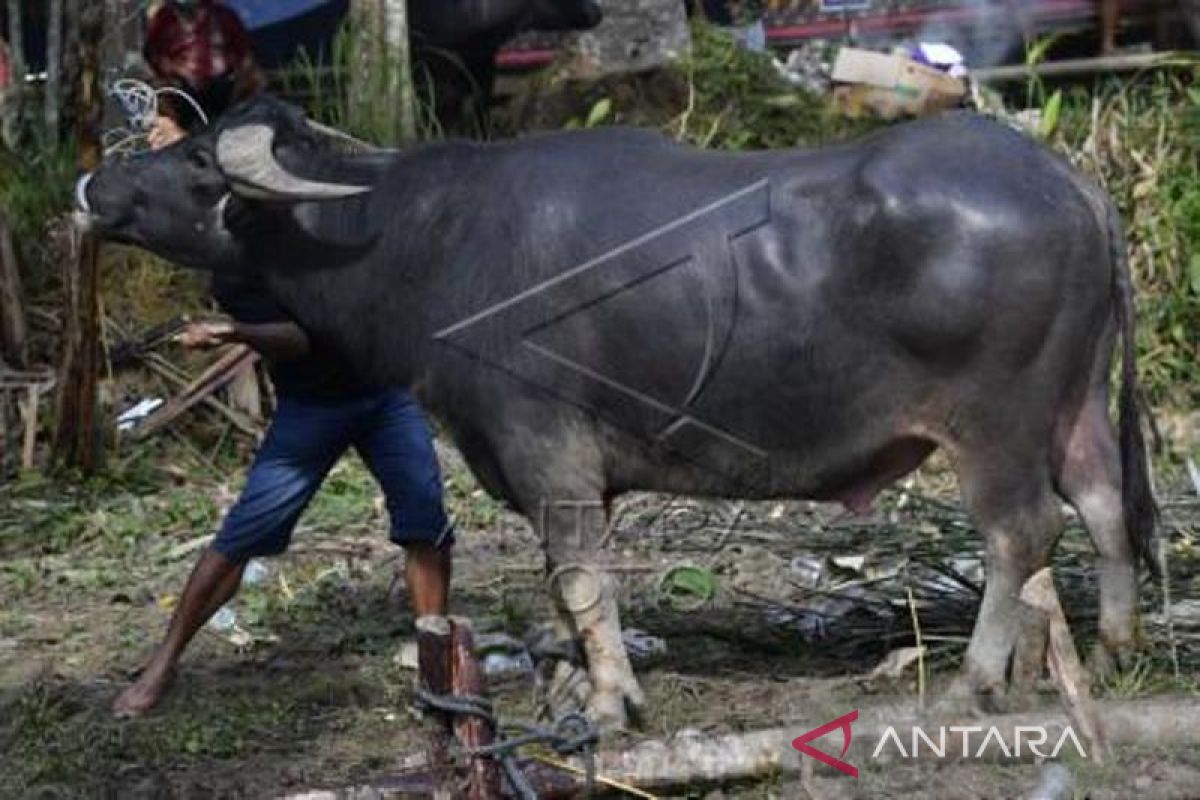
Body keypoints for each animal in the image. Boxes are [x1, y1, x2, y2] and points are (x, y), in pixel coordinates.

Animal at [77, 97, 1152, 729]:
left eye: (202, 164)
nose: (93, 181)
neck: (415, 239)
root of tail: (1069, 183)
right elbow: (571, 592)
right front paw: (576, 684)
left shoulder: (545, 450)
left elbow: (580, 580)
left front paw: (608, 704)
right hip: (1075, 406)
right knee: (1103, 508)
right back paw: (1110, 649)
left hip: (996, 425)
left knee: (1022, 531)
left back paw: (978, 679)